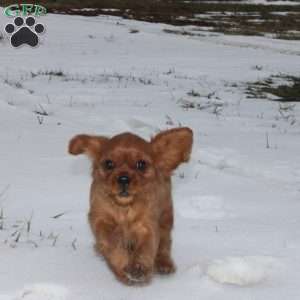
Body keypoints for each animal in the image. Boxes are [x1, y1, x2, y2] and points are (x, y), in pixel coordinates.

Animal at [68, 126, 192, 284]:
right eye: (109, 164)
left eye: (141, 164)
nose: (123, 179)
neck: (124, 208)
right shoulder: (101, 220)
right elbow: (112, 243)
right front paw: (123, 267)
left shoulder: (147, 226)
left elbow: (145, 248)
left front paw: (139, 268)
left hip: (166, 215)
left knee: (165, 241)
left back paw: (164, 264)